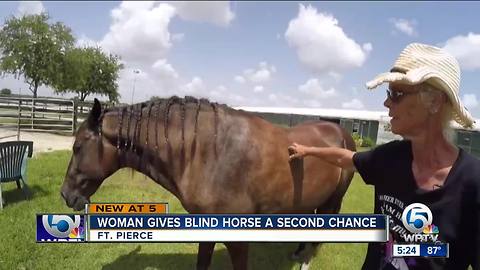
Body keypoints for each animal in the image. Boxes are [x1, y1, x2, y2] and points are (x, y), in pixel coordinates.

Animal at [60, 97, 354, 270]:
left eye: (77, 147)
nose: (66, 195)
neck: (209, 153)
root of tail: (341, 132)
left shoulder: (238, 237)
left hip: (333, 200)